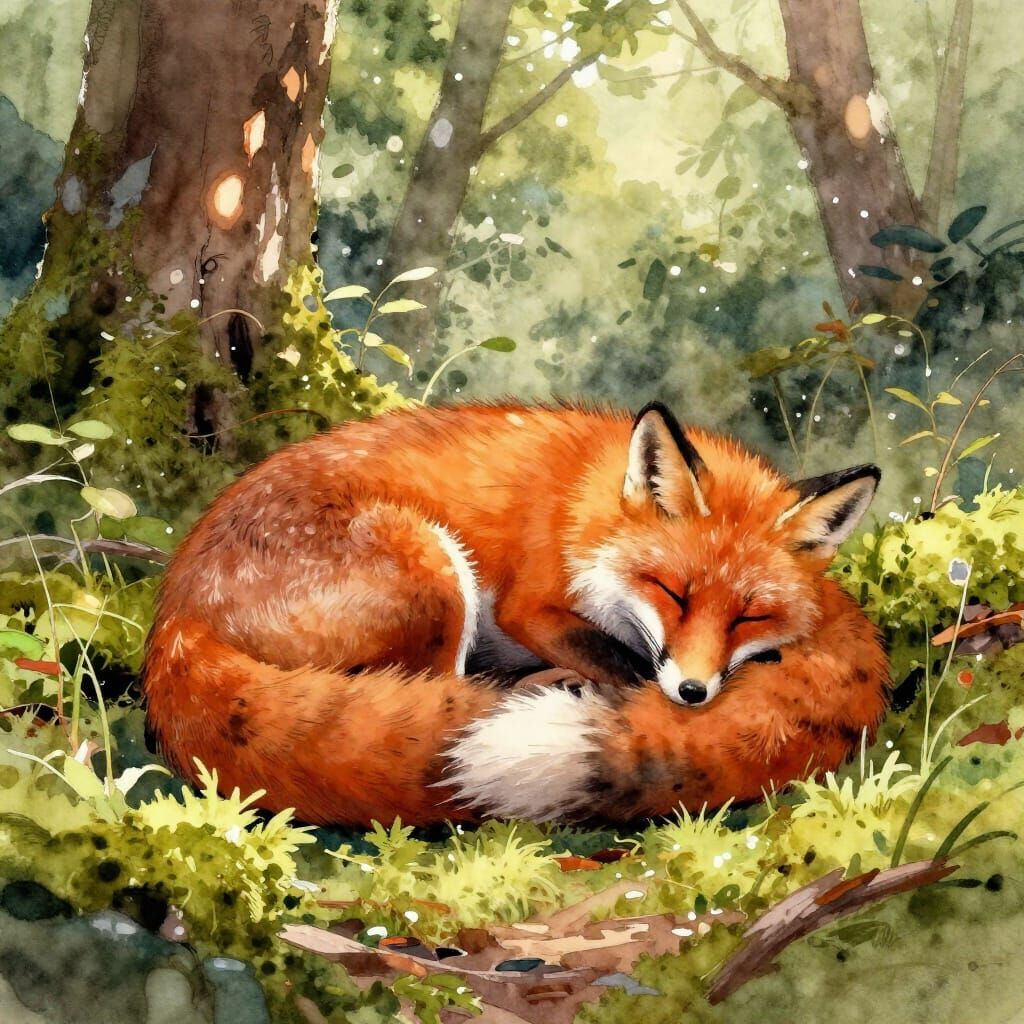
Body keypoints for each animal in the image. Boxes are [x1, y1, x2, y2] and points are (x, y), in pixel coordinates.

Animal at [143, 401, 890, 825]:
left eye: (748, 617)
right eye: (672, 592)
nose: (693, 692)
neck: (589, 508)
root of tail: (177, 612)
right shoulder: (528, 606)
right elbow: (619, 661)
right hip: (436, 573)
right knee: (435, 688)